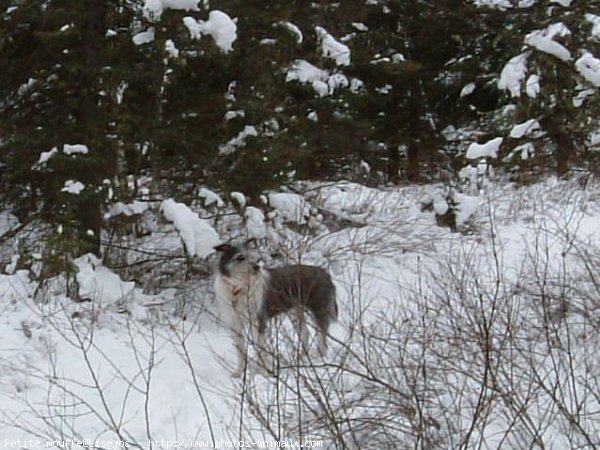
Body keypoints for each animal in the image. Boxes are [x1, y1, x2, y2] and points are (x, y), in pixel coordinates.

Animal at [214, 239, 338, 376]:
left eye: (254, 257)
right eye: (240, 257)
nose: (256, 267)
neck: (238, 288)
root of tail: (325, 273)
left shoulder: (258, 322)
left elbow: (261, 349)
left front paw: (263, 372)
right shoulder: (234, 324)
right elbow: (240, 351)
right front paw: (239, 373)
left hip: (318, 310)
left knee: (322, 336)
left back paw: (320, 357)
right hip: (296, 312)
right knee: (306, 332)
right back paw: (301, 357)